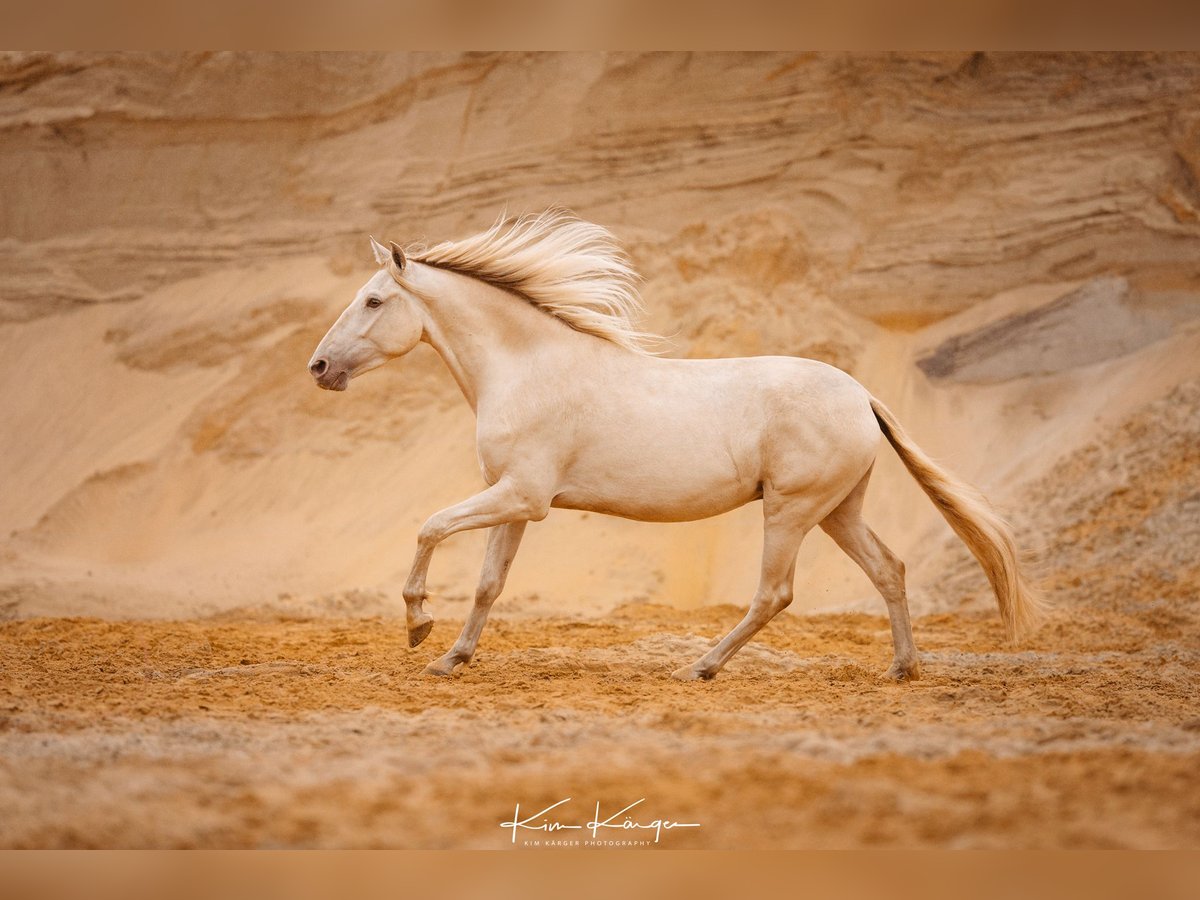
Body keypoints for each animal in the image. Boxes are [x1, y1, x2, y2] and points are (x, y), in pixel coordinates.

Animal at [309, 207, 1041, 681]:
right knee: (889, 569)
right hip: (838, 510)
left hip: (792, 511)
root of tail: (861, 396)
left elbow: (430, 527)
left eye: (373, 301)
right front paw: (450, 658)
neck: (527, 367)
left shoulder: (520, 495)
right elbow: (490, 582)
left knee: (775, 594)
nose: (319, 368)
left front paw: (417, 626)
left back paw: (701, 667)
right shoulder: (514, 503)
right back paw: (902, 668)